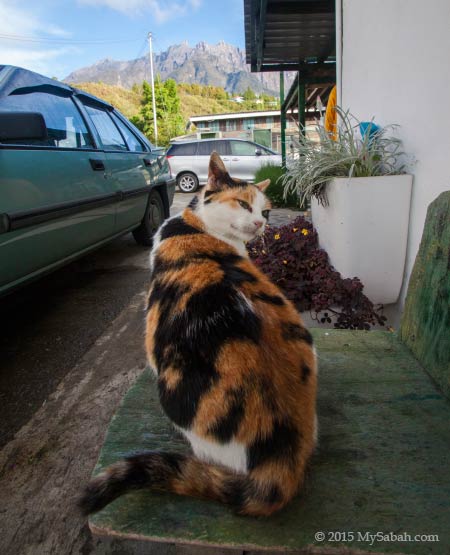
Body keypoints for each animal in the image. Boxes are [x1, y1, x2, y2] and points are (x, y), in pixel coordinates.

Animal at [80, 151, 316, 516]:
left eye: (265, 211)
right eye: (244, 204)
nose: (261, 224)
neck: (199, 226)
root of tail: (282, 454)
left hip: (173, 389)